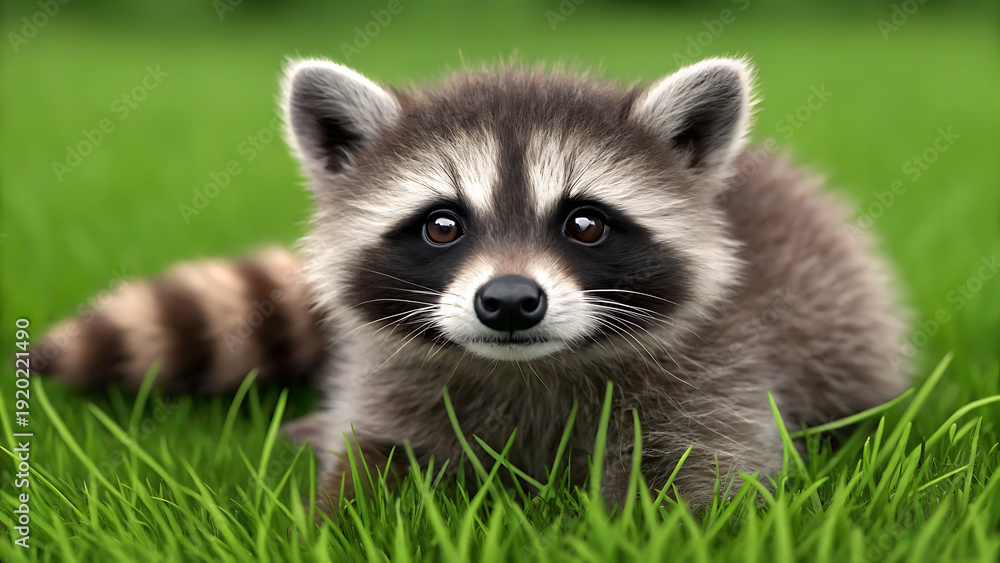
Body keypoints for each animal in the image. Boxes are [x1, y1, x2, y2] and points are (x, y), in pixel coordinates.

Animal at [33, 57, 909, 511]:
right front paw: (337, 520)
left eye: (584, 223)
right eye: (443, 225)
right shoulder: (393, 382)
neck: (528, 366)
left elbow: (703, 478)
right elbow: (374, 461)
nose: (511, 301)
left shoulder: (718, 369)